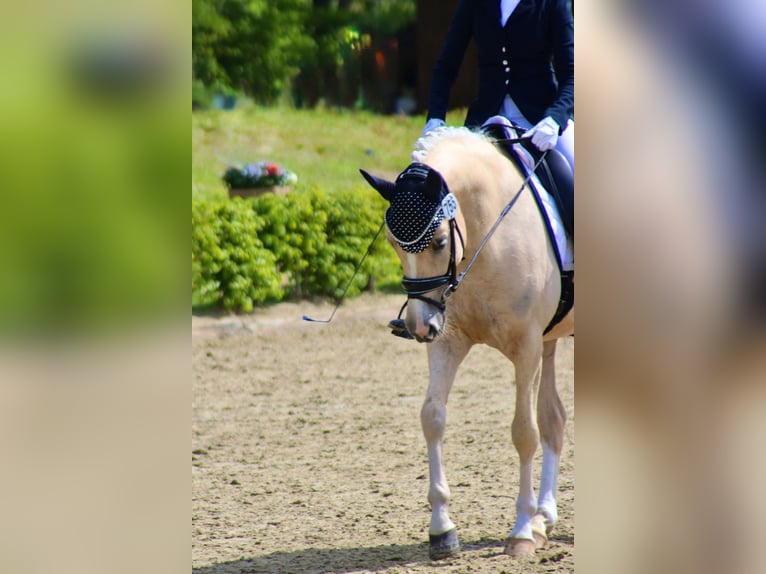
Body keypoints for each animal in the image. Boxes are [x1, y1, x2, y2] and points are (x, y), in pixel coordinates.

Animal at [359, 126, 574, 560]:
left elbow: (523, 432)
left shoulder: (526, 348)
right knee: (554, 419)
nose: (418, 326)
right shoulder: (448, 341)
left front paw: (521, 531)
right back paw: (545, 517)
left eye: (440, 242)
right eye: (391, 243)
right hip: (550, 343)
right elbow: (432, 417)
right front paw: (442, 528)